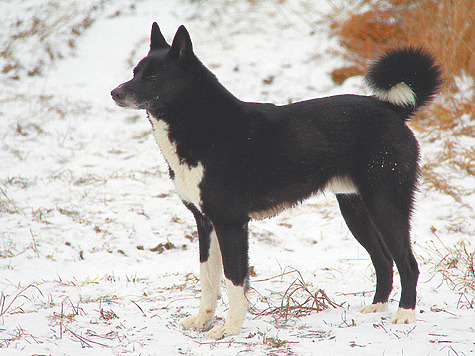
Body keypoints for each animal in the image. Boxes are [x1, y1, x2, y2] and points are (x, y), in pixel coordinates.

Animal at [111, 22, 442, 340]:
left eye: (154, 76)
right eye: (135, 72)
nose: (115, 93)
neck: (203, 123)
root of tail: (393, 111)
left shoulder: (231, 224)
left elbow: (233, 280)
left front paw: (229, 329)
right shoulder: (206, 224)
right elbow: (208, 278)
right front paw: (203, 321)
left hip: (386, 206)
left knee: (407, 263)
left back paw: (405, 315)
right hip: (356, 212)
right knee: (384, 260)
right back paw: (376, 307)